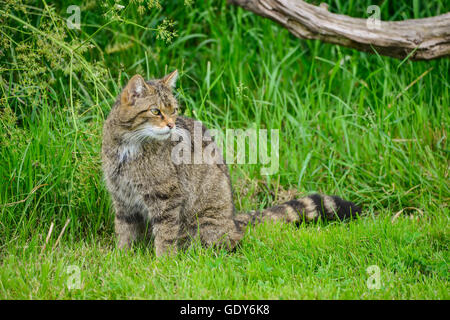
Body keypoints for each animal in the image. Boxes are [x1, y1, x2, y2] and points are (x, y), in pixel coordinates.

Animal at [103, 71, 362, 256]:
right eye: (156, 111)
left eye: (174, 110)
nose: (171, 125)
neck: (129, 147)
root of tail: (233, 220)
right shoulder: (122, 198)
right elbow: (124, 231)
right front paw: (122, 258)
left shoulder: (167, 197)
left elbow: (165, 235)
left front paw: (163, 263)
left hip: (203, 225)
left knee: (228, 242)